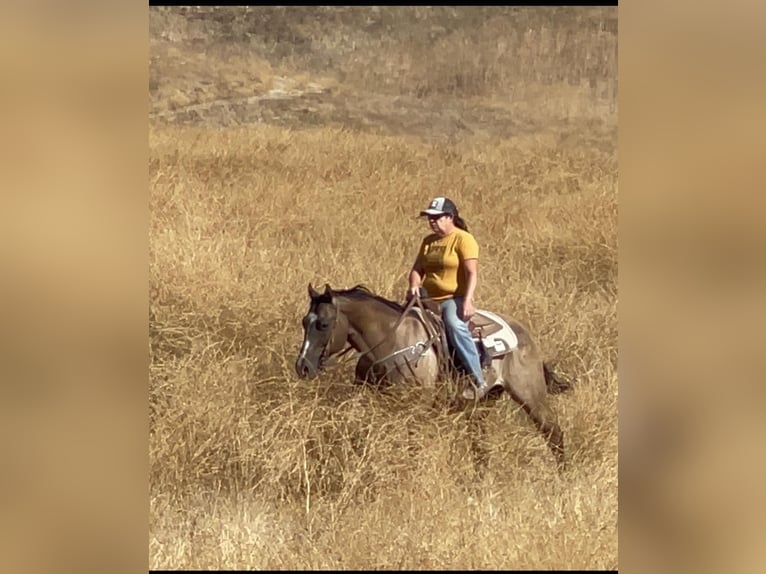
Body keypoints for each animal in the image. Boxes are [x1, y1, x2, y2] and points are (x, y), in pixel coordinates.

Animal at [296, 284, 572, 468]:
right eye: (304, 322)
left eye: (323, 324)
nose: (303, 367)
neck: (393, 342)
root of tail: (523, 332)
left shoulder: (414, 410)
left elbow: (413, 447)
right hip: (481, 405)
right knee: (480, 447)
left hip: (530, 395)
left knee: (553, 432)